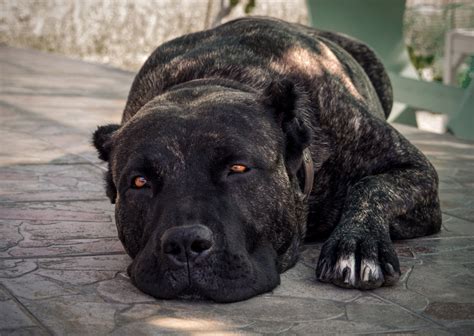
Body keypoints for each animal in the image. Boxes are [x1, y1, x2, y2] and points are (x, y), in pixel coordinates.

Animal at [91, 17, 440, 304]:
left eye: (238, 169)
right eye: (139, 182)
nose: (184, 242)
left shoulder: (416, 171)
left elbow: (371, 187)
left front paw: (356, 244)